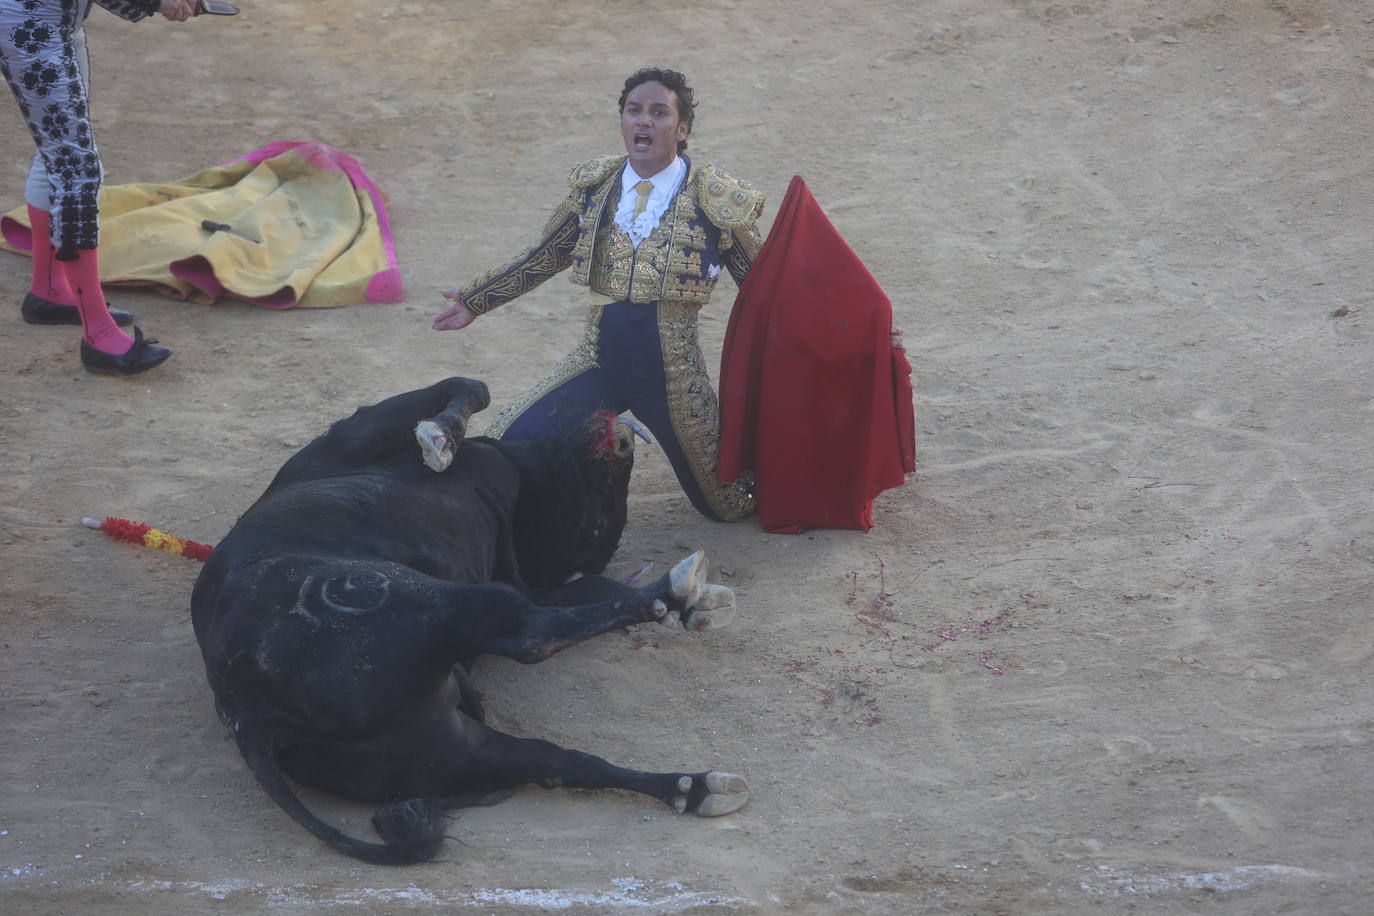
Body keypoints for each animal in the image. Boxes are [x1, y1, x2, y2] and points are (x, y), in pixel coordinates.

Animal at [189, 376, 747, 862]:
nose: (622, 441)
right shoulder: (359, 435)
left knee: (550, 738)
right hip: (441, 638)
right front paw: (440, 436)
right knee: (535, 656)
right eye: (596, 524)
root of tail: (250, 716)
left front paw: (441, 435)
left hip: (449, 721)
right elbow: (469, 386)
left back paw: (693, 784)